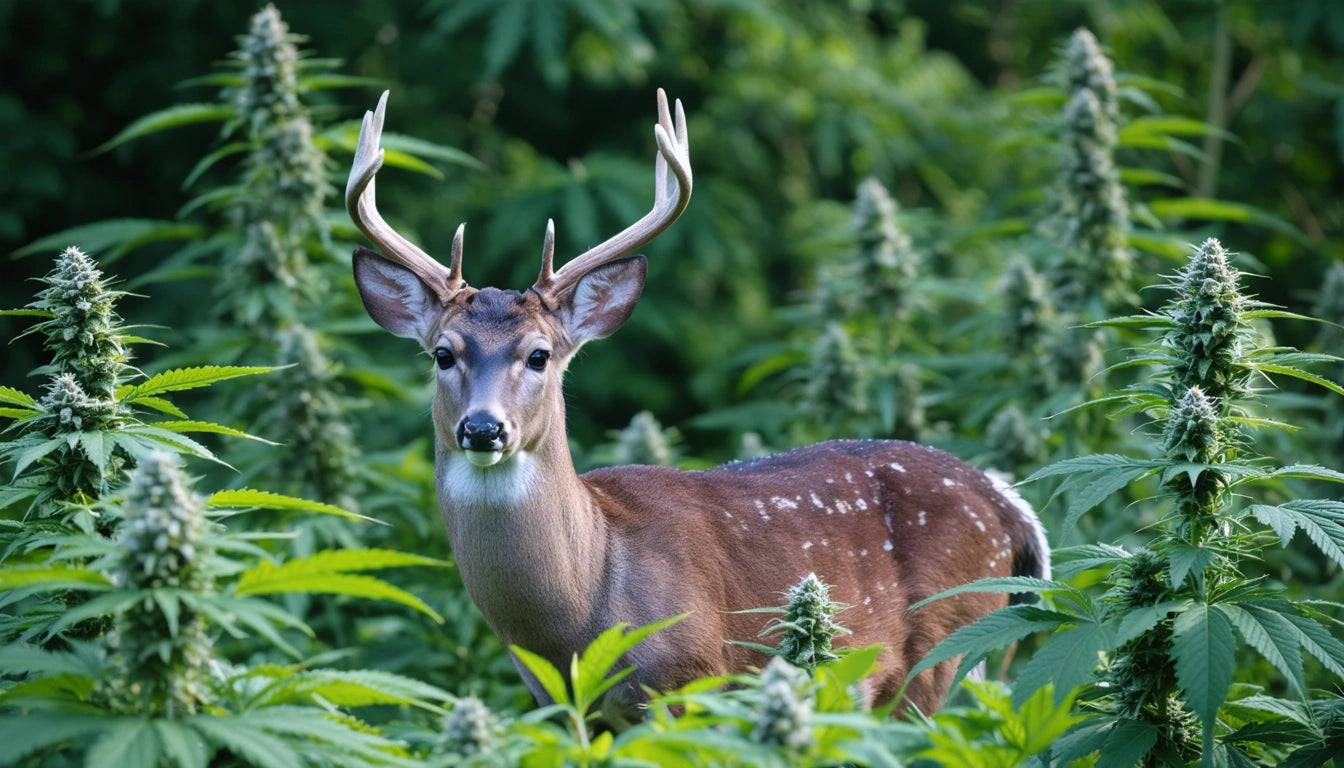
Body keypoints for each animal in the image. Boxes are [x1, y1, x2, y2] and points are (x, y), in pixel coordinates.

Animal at [346, 89, 1051, 720]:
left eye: (540, 354)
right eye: (443, 354)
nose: (484, 429)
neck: (579, 614)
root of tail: (1008, 506)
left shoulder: (690, 680)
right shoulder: (560, 704)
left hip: (944, 656)